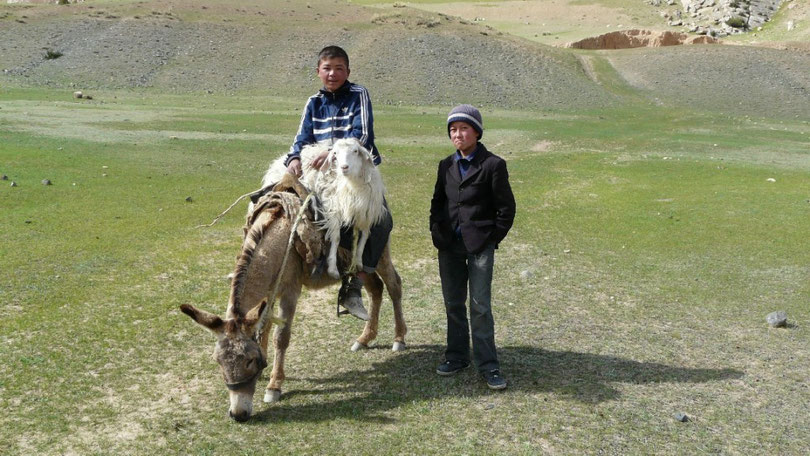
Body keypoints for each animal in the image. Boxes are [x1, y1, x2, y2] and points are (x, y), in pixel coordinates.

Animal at [256, 137, 388, 278]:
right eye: (335, 153)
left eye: (355, 151)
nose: (344, 167)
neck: (352, 184)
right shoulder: (333, 208)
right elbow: (336, 237)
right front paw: (333, 269)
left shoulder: (366, 212)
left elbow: (365, 236)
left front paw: (358, 262)